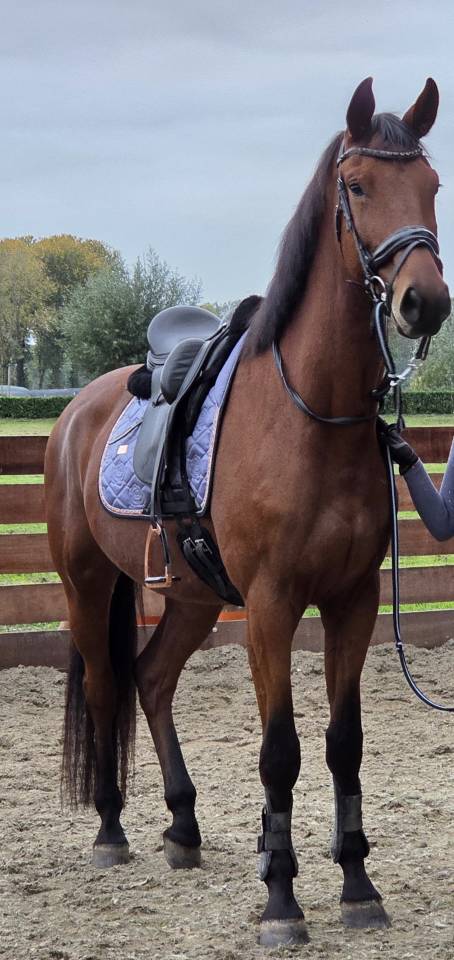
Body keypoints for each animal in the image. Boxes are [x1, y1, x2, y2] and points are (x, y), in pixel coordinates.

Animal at [44, 77, 450, 947]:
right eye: (356, 185)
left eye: (433, 186)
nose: (425, 301)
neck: (313, 414)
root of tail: (77, 410)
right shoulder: (269, 606)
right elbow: (280, 753)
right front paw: (282, 901)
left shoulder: (352, 601)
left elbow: (343, 744)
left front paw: (357, 884)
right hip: (87, 584)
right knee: (106, 683)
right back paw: (111, 830)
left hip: (195, 596)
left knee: (151, 679)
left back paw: (183, 825)